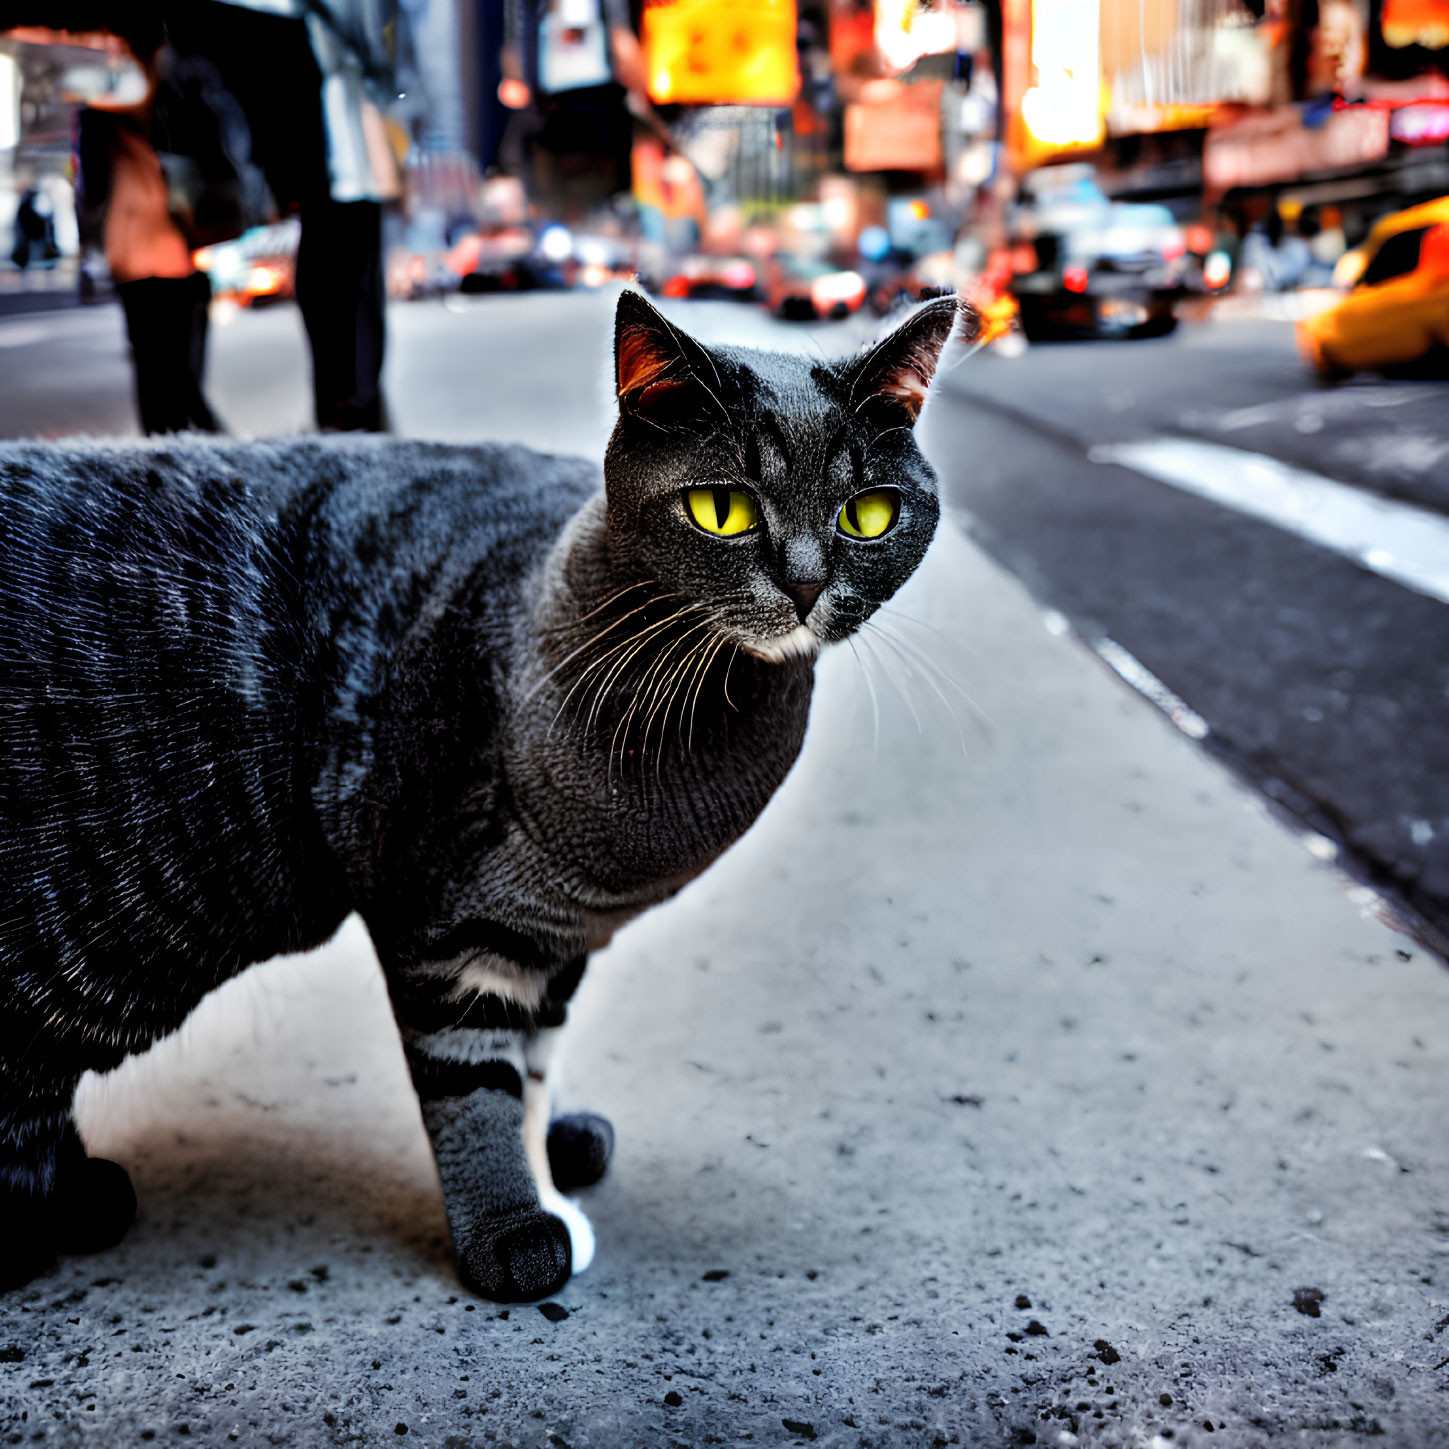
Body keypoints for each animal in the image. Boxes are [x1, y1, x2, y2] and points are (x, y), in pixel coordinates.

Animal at [2, 288, 973, 1298]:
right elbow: (472, 1080)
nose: (807, 584)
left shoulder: (556, 935)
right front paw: (513, 1224)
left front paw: (549, 1165)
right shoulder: (441, 923)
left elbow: (534, 1061)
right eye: (722, 509)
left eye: (867, 514)